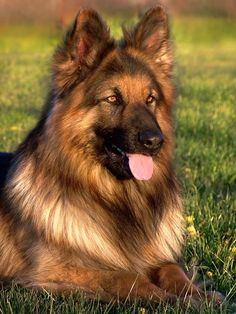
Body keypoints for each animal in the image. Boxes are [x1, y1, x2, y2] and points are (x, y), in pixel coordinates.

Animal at [0, 6, 222, 306]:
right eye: (113, 99)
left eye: (151, 99)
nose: (155, 142)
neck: (116, 198)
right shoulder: (51, 270)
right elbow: (125, 277)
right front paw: (171, 299)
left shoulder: (157, 258)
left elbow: (171, 269)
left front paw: (199, 295)